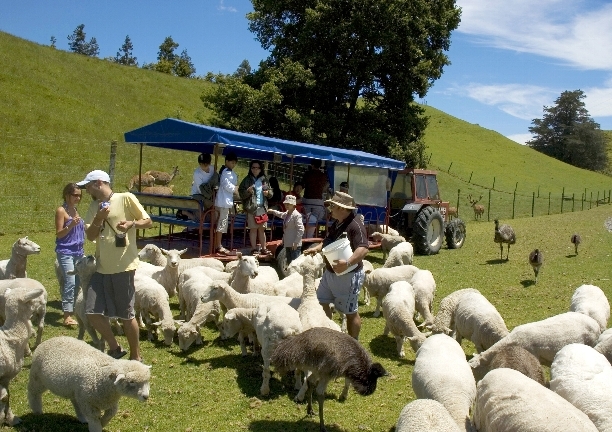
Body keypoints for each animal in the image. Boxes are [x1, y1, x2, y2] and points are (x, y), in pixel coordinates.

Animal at [0, 285, 45, 426]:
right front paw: (11, 419)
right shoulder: (4, 376)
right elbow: (6, 397)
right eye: (31, 299)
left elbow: (5, 397)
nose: (43, 303)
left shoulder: (4, 378)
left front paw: (9, 418)